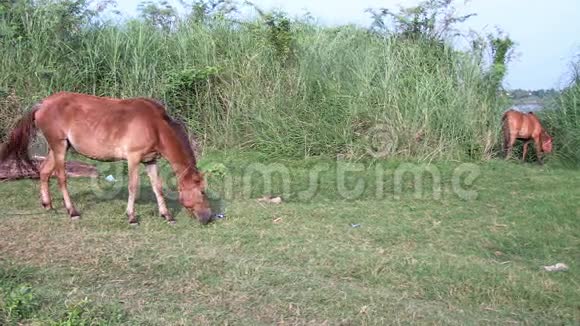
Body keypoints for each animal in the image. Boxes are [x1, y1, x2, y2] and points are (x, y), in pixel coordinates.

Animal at [0, 91, 213, 224]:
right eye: (202, 192)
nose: (209, 218)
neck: (156, 125)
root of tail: (43, 103)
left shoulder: (150, 160)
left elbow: (157, 187)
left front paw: (167, 215)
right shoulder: (133, 158)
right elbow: (133, 186)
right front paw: (131, 217)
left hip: (59, 147)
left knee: (44, 171)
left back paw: (48, 206)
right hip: (59, 147)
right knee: (61, 178)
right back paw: (72, 212)